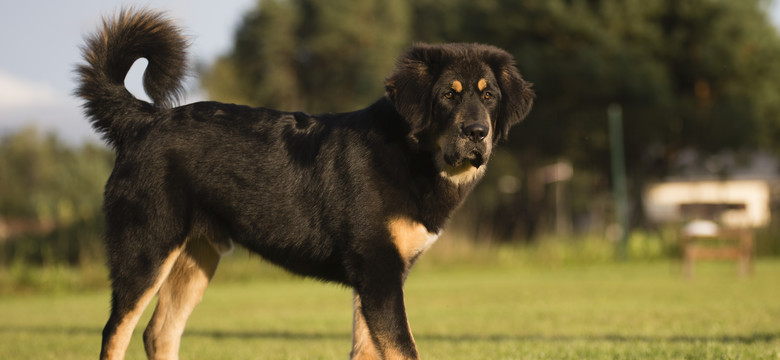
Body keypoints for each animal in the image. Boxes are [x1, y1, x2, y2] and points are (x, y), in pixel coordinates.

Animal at [76, 8, 532, 360]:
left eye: (488, 96)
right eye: (447, 96)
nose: (477, 133)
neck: (412, 154)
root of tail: (145, 120)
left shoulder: (375, 280)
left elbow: (369, 350)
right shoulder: (379, 274)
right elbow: (405, 349)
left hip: (195, 257)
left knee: (159, 333)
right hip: (145, 251)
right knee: (115, 332)